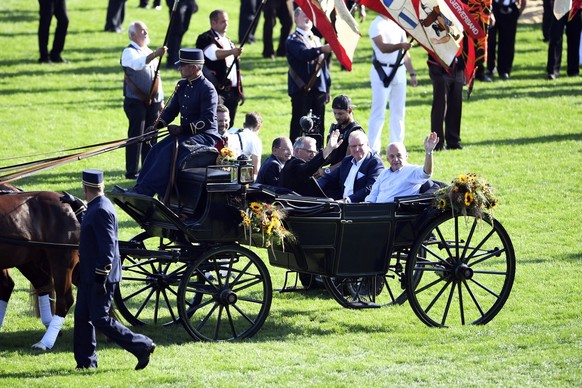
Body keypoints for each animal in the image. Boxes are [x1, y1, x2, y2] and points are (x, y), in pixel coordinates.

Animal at [0, 183, 80, 350]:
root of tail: (70, 203)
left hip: (61, 260)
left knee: (65, 299)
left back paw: (45, 342)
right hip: (27, 259)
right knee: (40, 284)